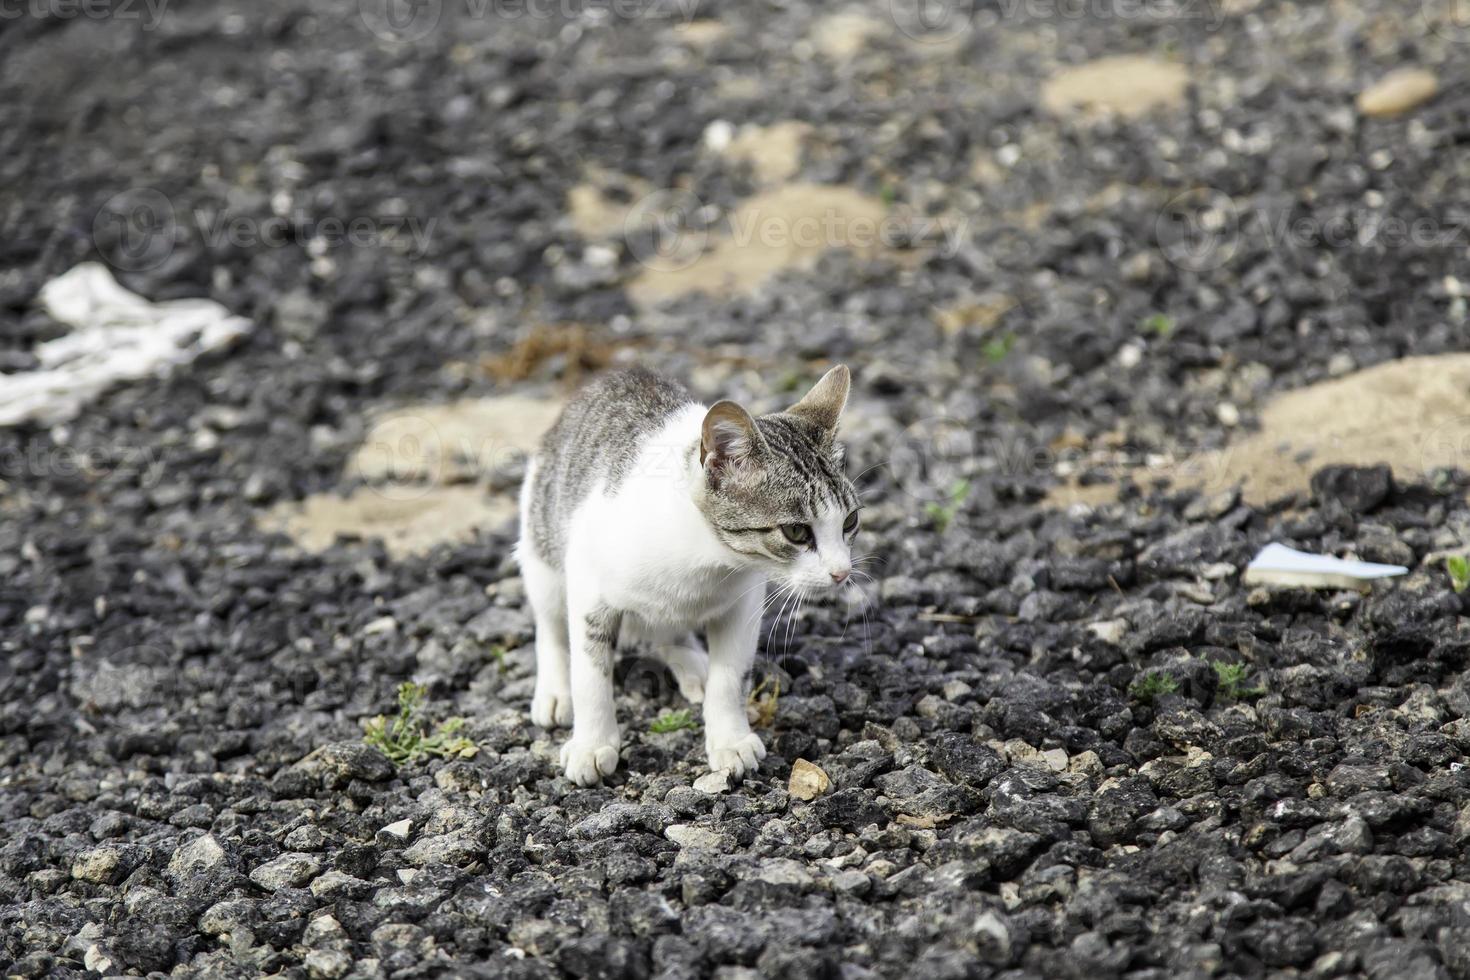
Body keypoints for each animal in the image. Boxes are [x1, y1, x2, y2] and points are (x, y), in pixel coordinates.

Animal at [517, 367, 858, 787]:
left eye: (850, 522)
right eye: (796, 532)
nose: (842, 572)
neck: (706, 560)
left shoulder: (744, 602)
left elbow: (731, 677)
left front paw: (730, 738)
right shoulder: (587, 584)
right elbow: (590, 673)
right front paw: (592, 744)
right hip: (542, 549)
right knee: (549, 623)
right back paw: (554, 691)